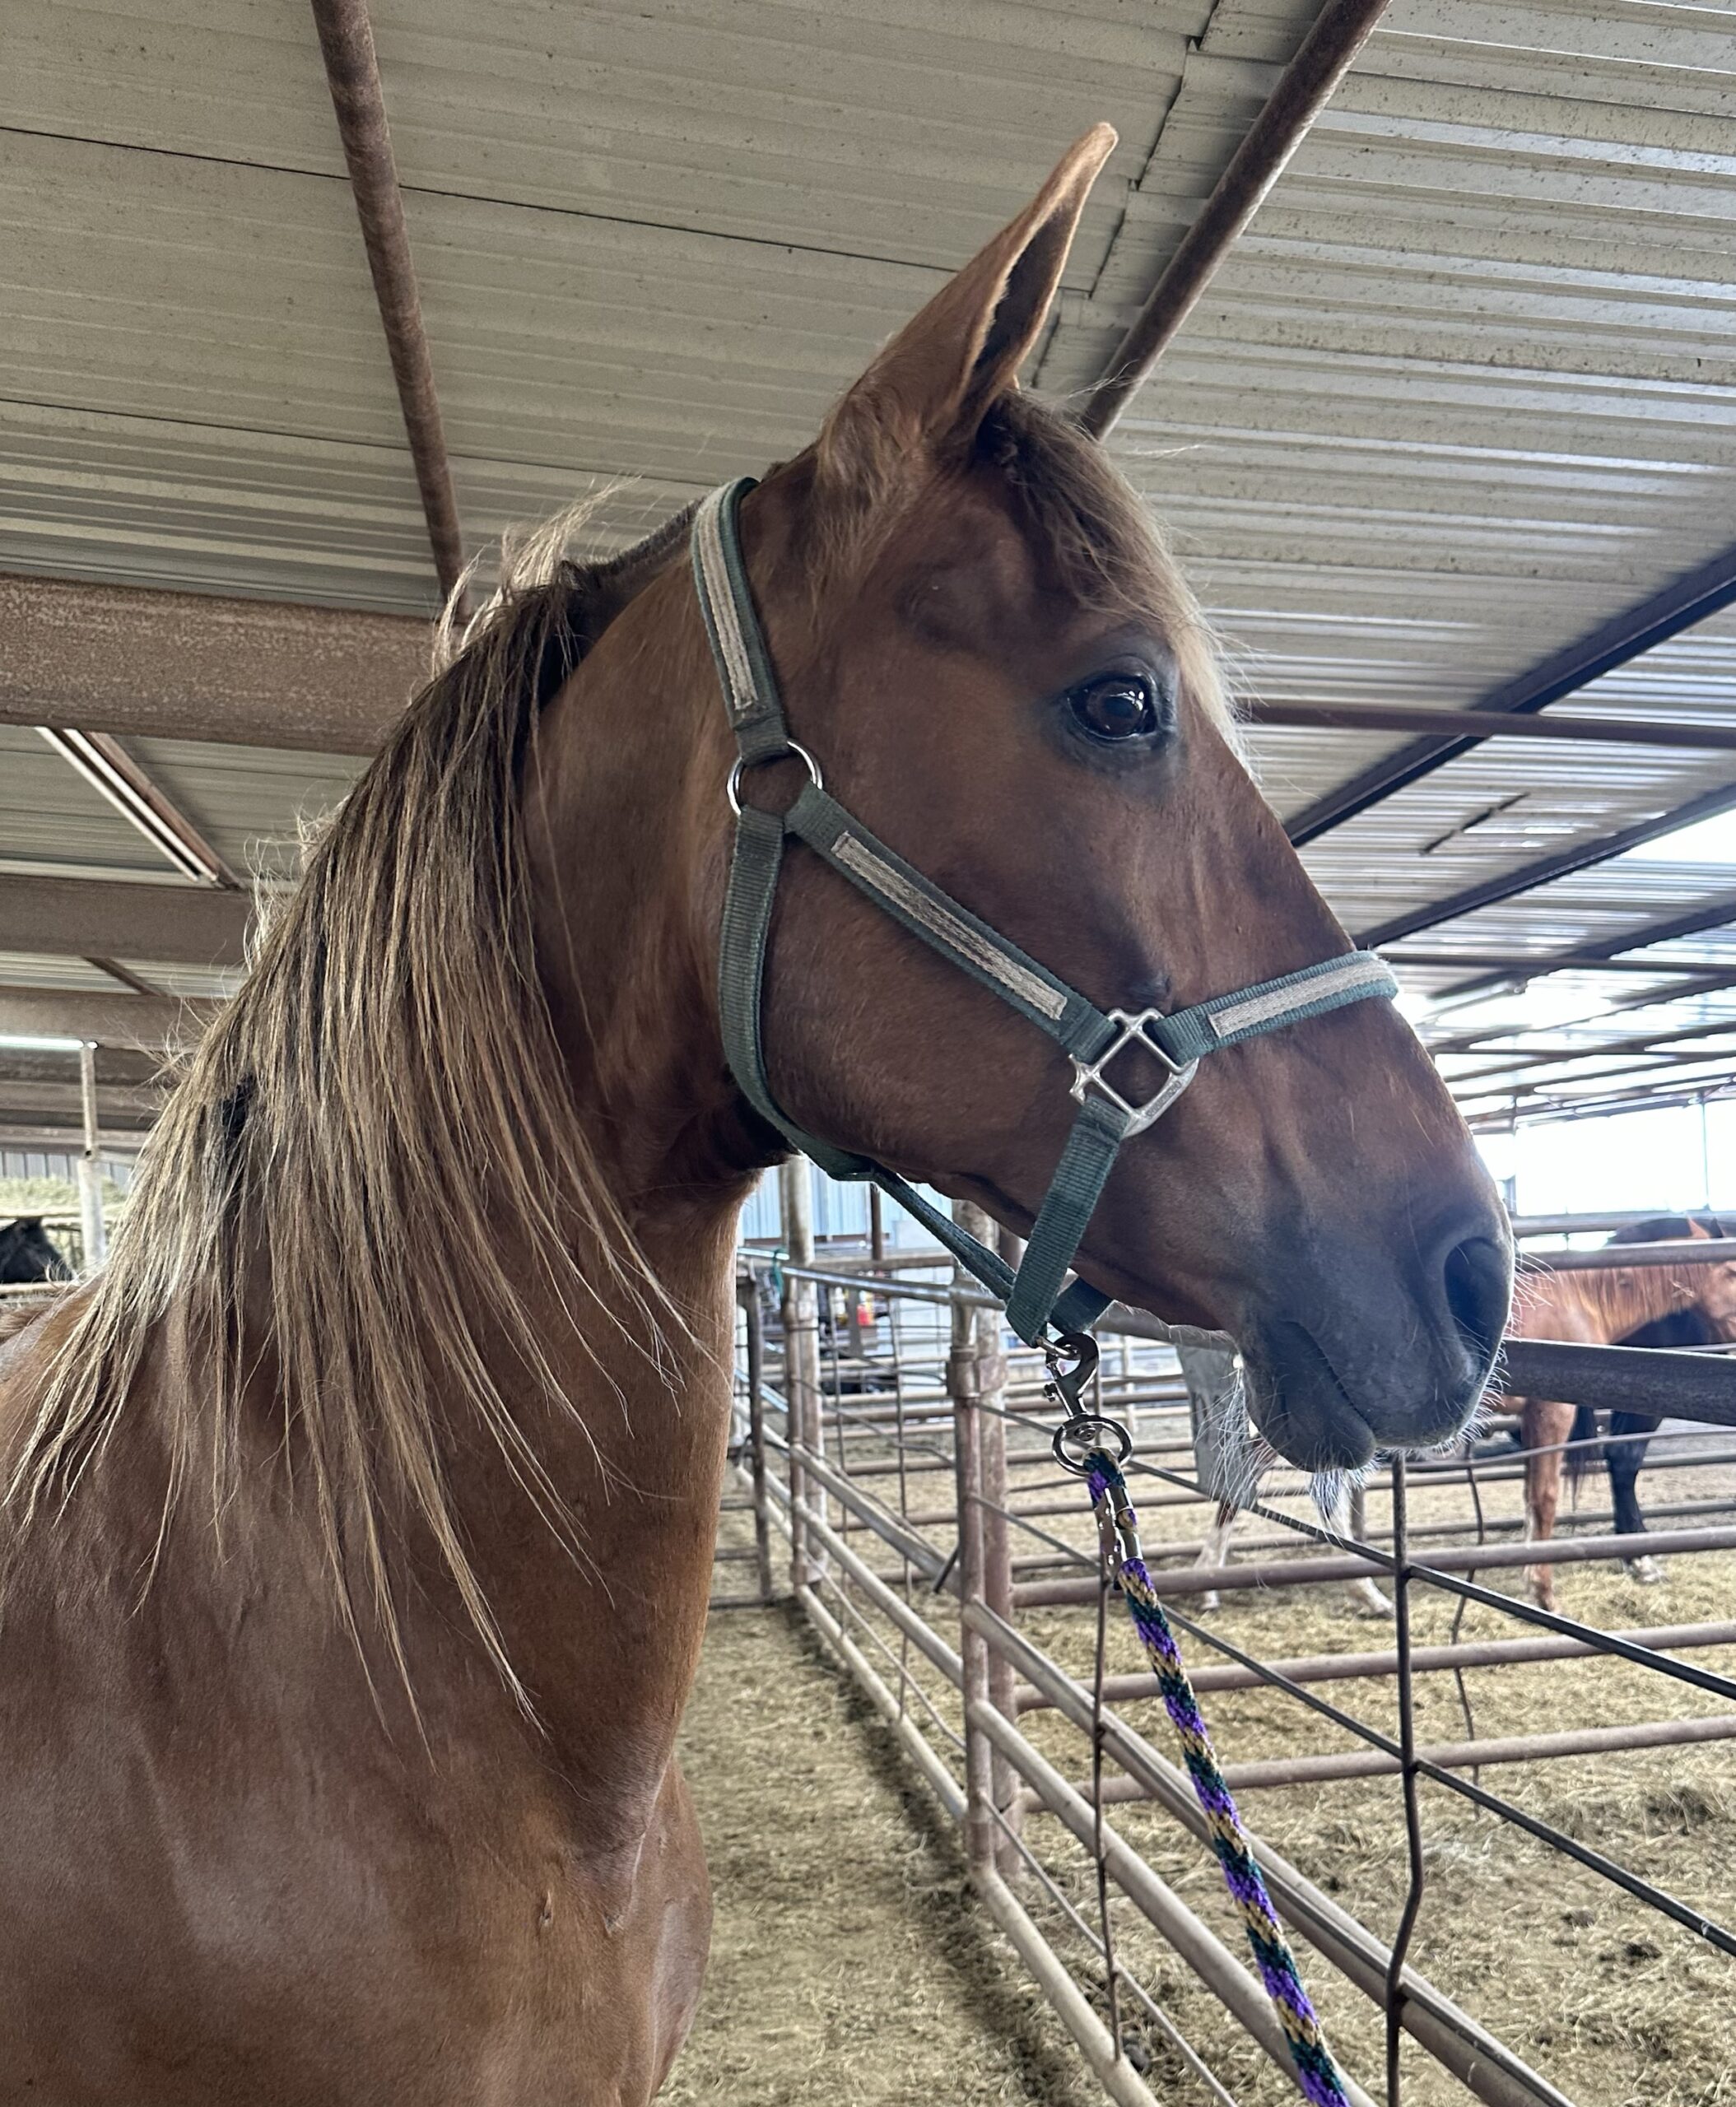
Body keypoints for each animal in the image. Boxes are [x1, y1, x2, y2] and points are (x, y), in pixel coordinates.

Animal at [1509, 1219, 1736, 1609]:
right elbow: (1545, 1498)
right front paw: (1543, 1592)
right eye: (1733, 1271)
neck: (1578, 1299)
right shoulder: (1552, 1411)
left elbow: (1530, 1498)